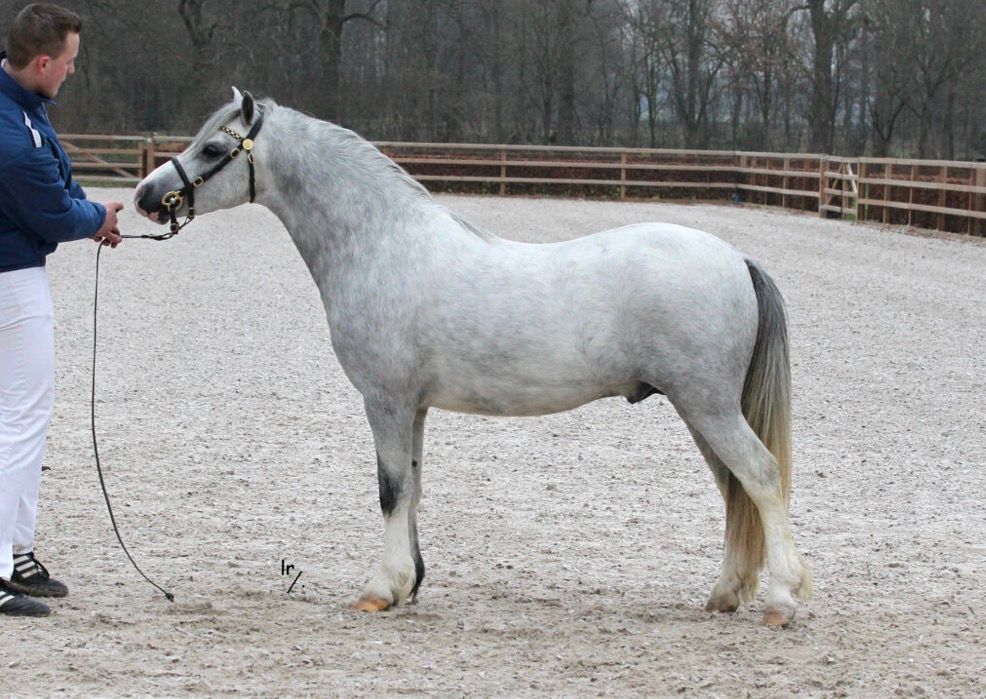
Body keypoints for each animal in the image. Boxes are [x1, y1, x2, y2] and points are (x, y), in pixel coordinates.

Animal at [135, 89, 811, 626]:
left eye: (213, 150)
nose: (146, 195)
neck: (381, 244)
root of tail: (735, 257)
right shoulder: (414, 408)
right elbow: (411, 487)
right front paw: (409, 583)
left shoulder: (384, 399)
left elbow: (389, 489)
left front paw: (379, 590)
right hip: (702, 410)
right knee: (737, 489)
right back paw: (727, 594)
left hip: (708, 405)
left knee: (761, 476)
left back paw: (781, 601)